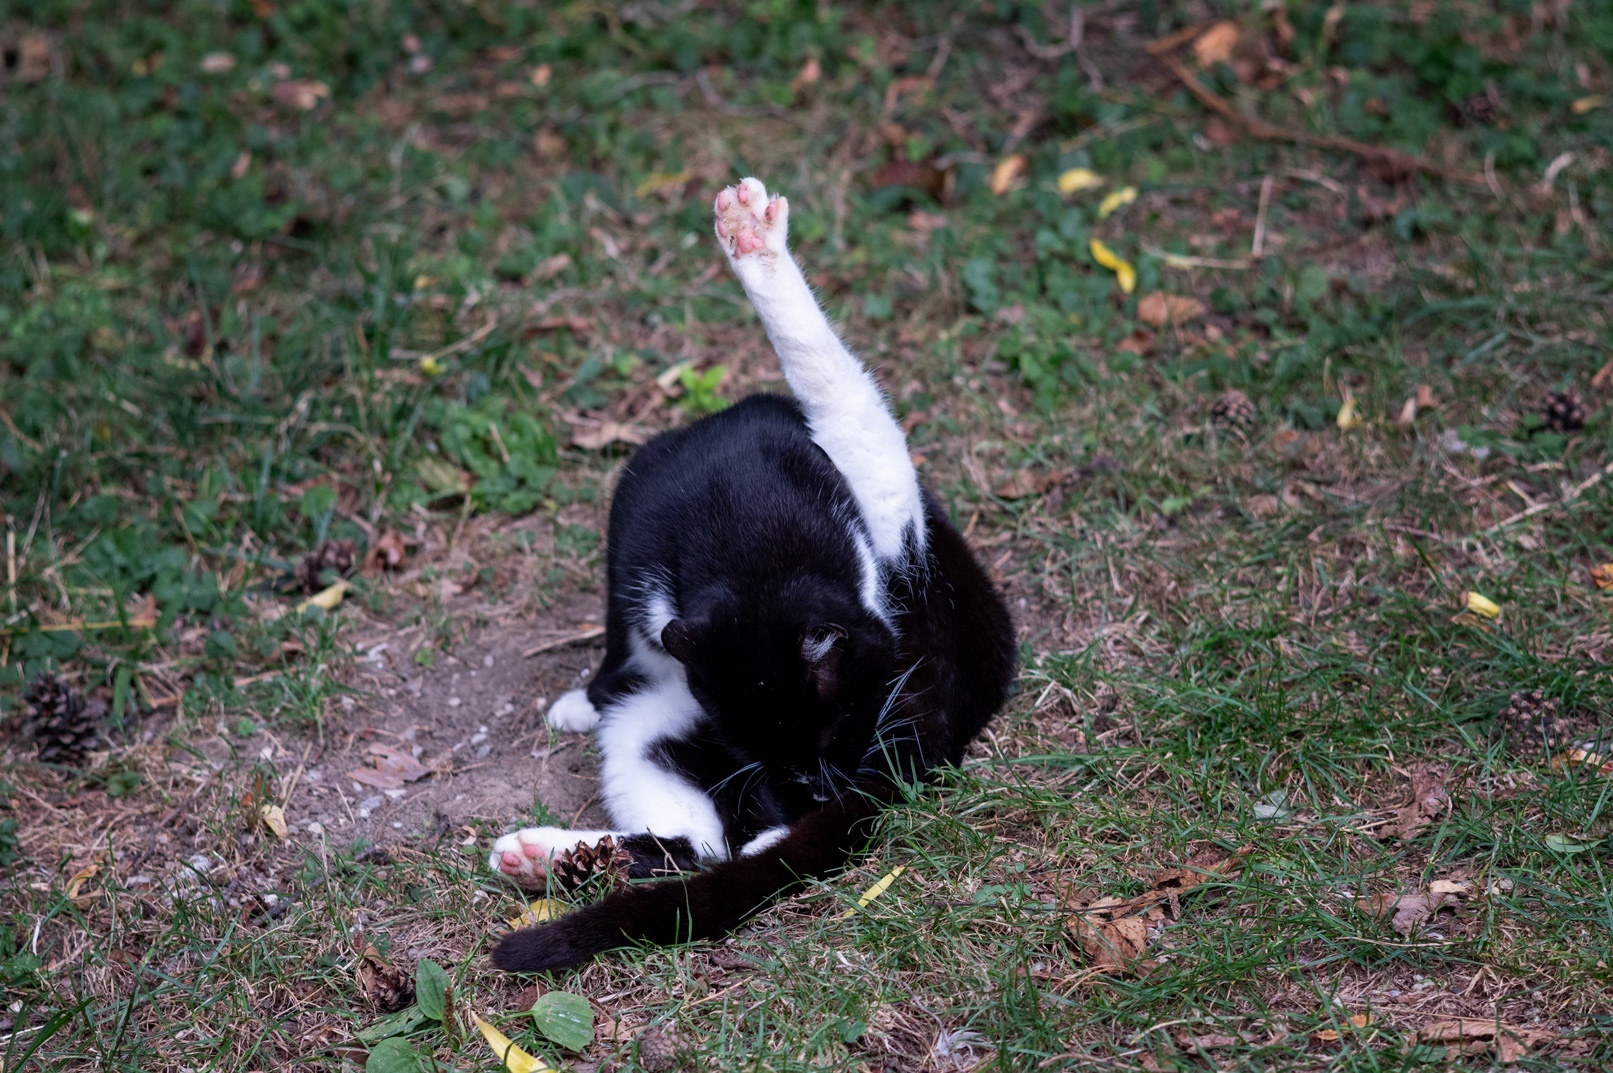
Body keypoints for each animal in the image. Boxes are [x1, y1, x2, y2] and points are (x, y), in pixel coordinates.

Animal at [488, 177, 1014, 973]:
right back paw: (551, 856)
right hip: (654, 725)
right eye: (763, 748)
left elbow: (839, 386)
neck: (742, 518)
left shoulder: (888, 537)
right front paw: (588, 693)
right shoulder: (633, 513)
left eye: (841, 732)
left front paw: (755, 242)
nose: (810, 793)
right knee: (695, 842)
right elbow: (618, 625)